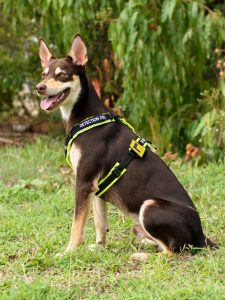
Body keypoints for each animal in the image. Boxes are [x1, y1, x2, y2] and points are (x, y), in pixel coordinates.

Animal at [36, 34, 215, 255]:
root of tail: (201, 235)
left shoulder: (83, 182)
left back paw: (141, 256)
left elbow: (76, 225)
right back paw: (146, 244)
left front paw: (69, 251)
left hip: (150, 207)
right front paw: (99, 247)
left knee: (172, 252)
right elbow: (100, 223)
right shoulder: (96, 188)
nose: (39, 87)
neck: (87, 118)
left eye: (62, 75)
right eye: (44, 74)